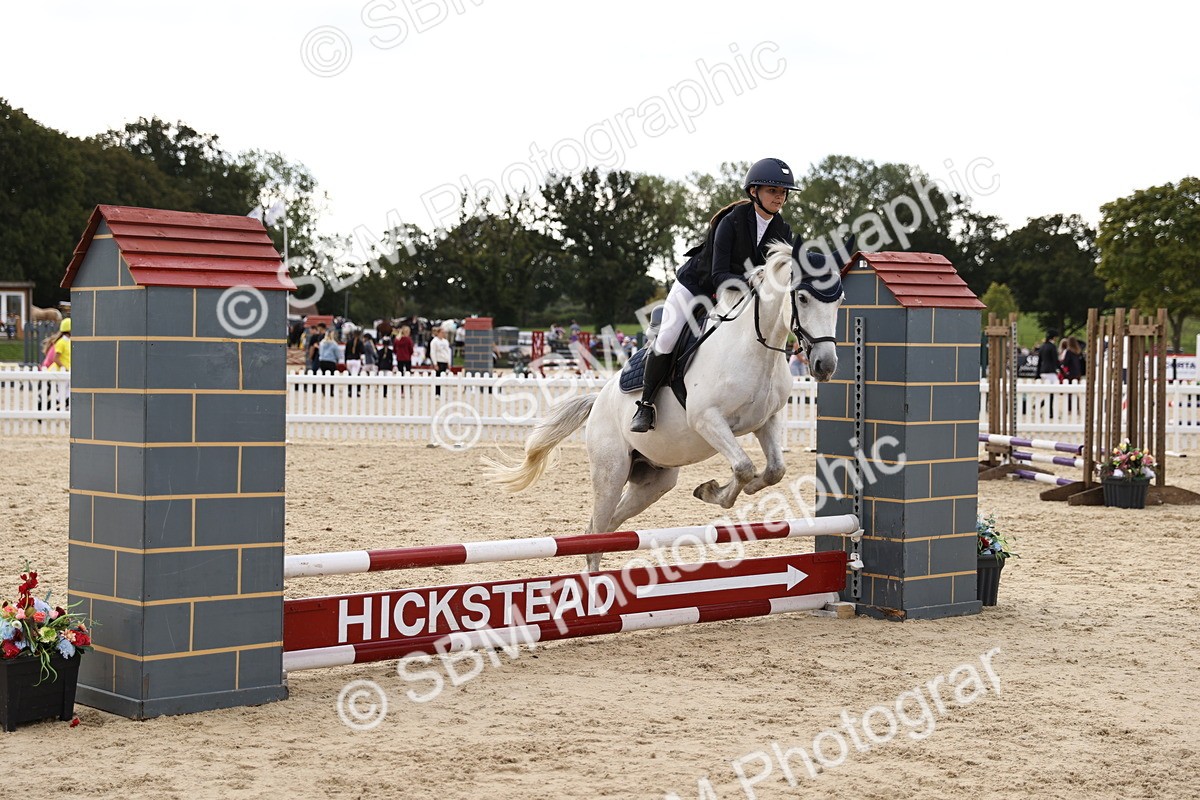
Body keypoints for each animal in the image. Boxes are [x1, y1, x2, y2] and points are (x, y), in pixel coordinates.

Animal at [487, 238, 850, 571]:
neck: (755, 348)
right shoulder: (707, 420)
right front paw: (710, 491)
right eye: (802, 297)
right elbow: (744, 466)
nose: (825, 365)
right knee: (596, 530)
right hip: (610, 471)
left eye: (840, 300)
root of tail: (598, 400)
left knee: (609, 526)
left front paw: (729, 489)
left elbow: (774, 470)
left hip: (654, 481)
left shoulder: (767, 421)